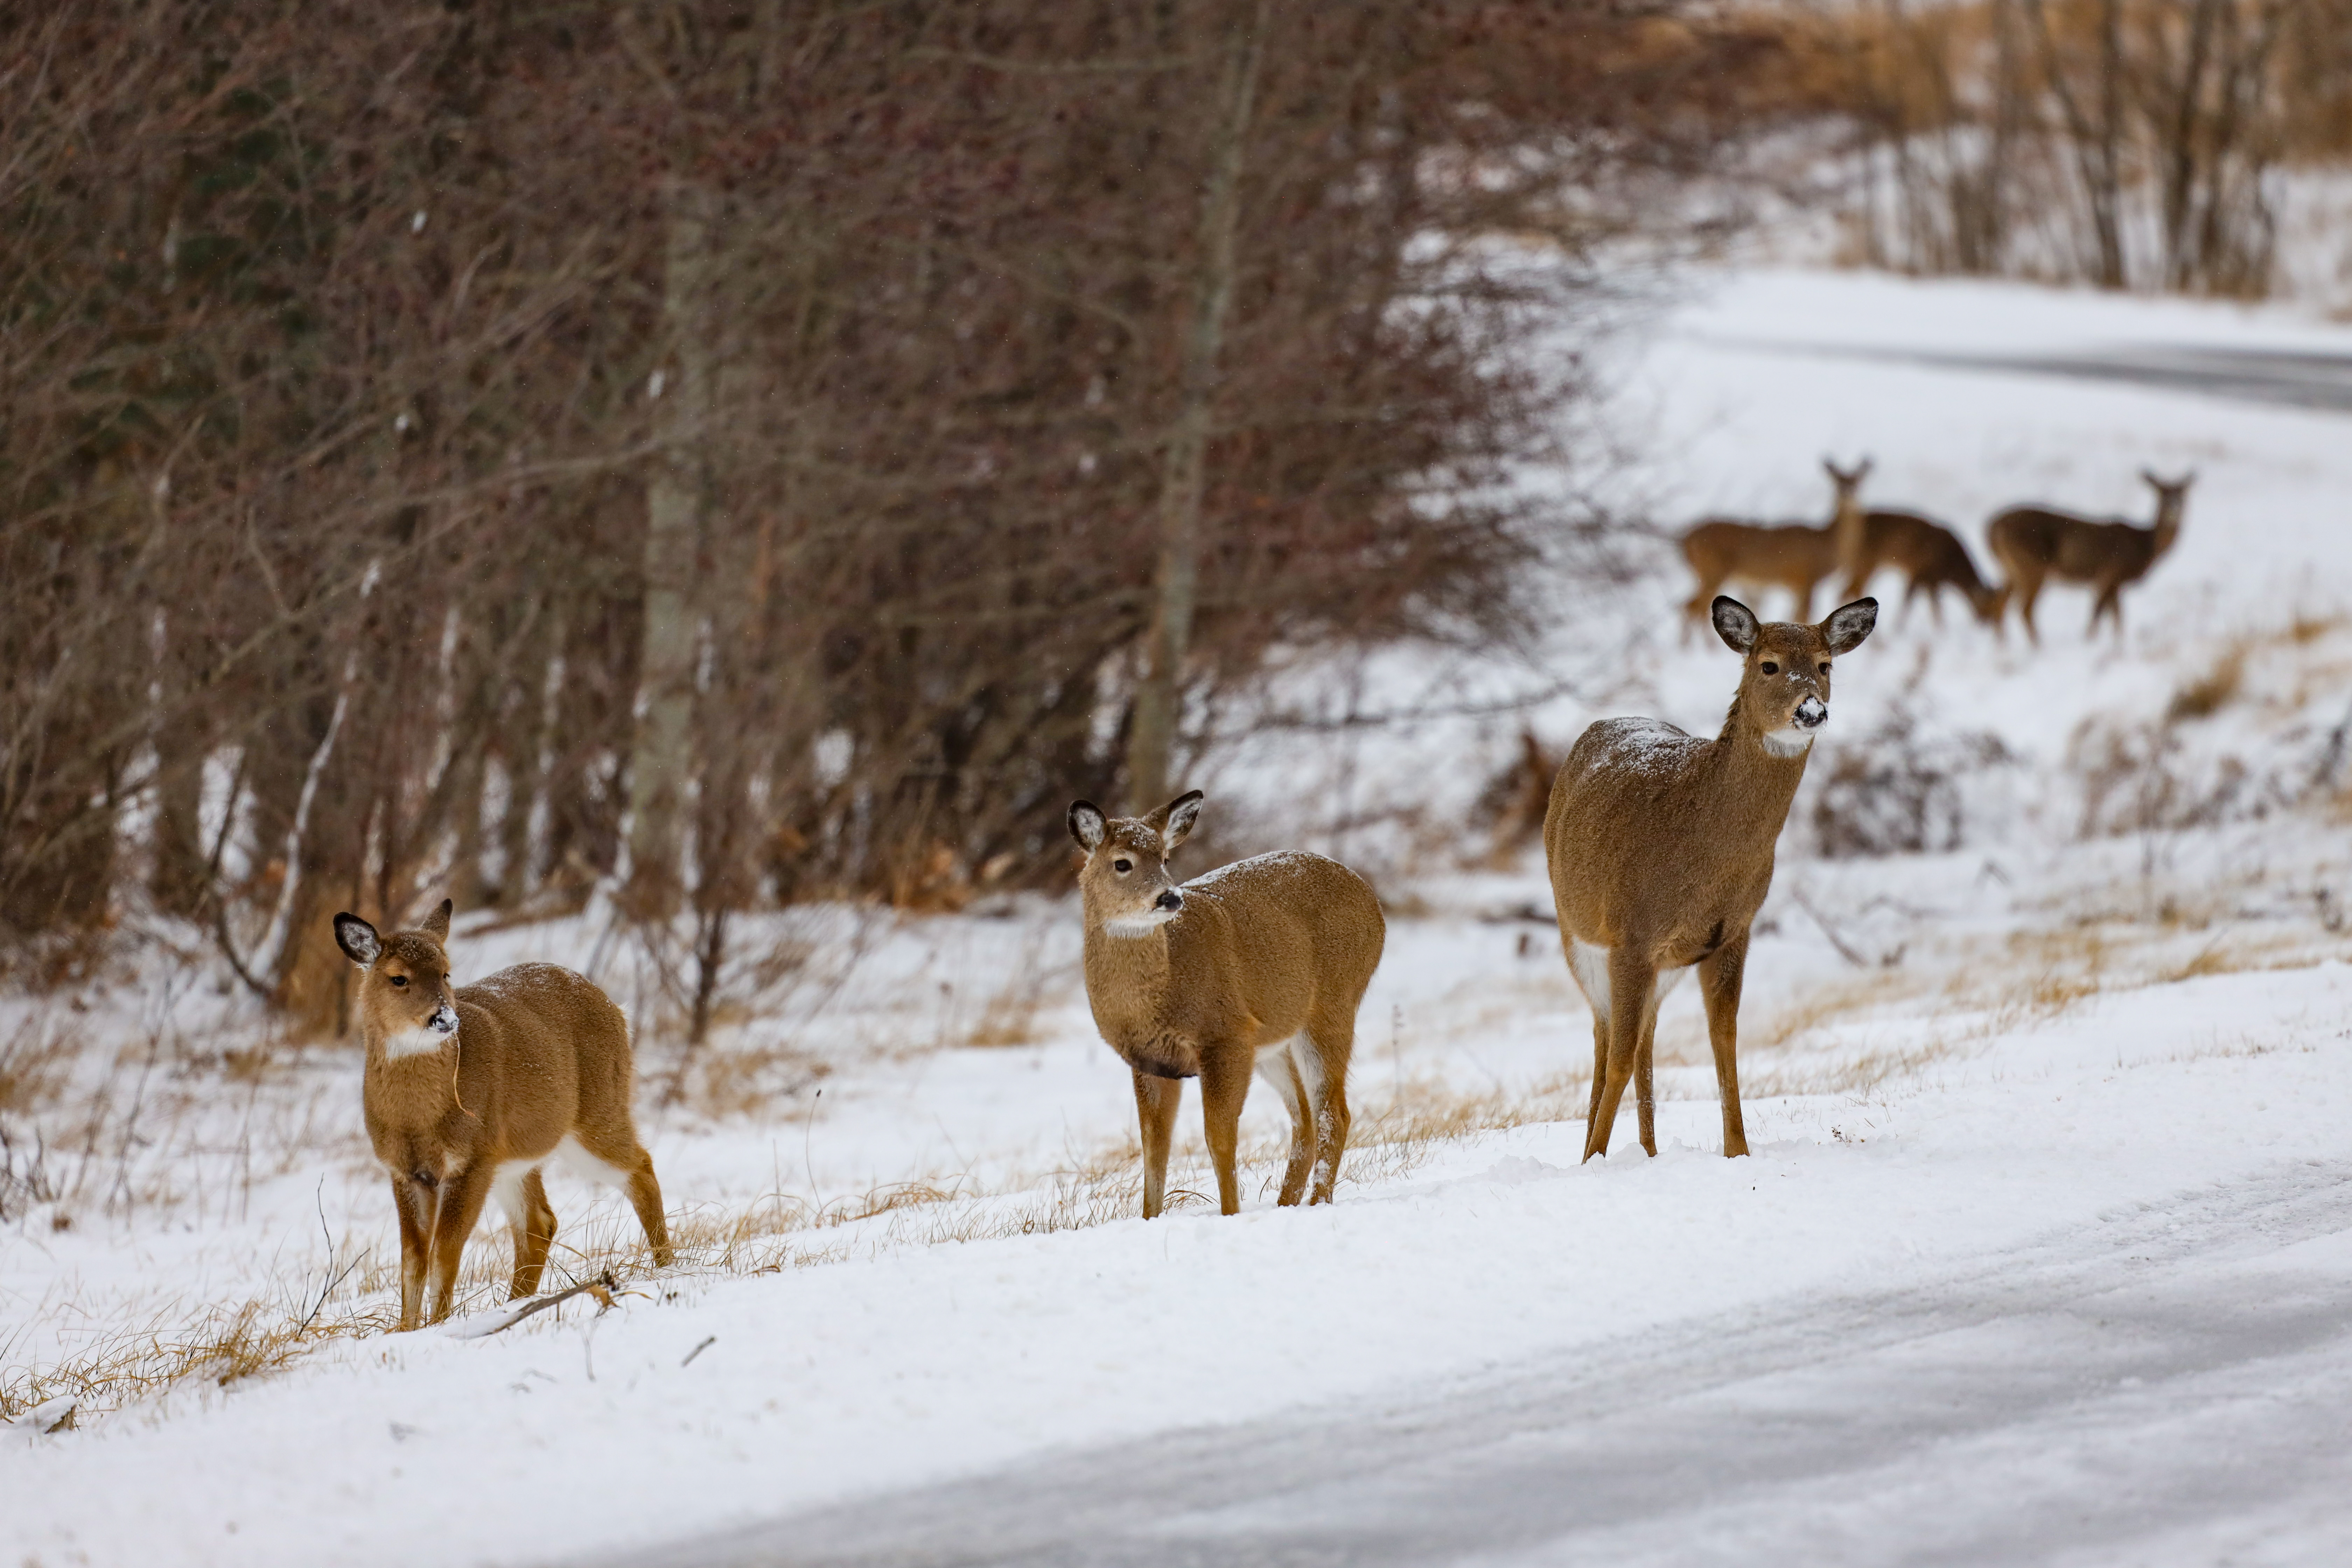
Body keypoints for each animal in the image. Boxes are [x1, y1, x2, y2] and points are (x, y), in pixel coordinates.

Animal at [333, 899, 673, 1329]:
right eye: (398, 978)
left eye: (446, 972)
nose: (445, 1019)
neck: (417, 1119)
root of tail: (619, 1011)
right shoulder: (403, 1170)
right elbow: (412, 1259)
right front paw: (405, 1330)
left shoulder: (472, 1159)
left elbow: (445, 1252)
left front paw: (439, 1324)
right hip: (515, 1158)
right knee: (541, 1222)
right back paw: (515, 1306)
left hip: (595, 1114)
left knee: (640, 1167)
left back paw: (666, 1267)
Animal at [1067, 792, 1385, 1218]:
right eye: (1122, 862)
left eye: (1165, 858)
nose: (1170, 897)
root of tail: (1373, 901)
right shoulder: (1150, 1061)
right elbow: (1154, 1149)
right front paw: (1150, 1218)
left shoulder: (1225, 1035)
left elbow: (1219, 1137)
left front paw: (1231, 1214)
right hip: (1274, 1041)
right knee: (1304, 1118)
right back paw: (1285, 1204)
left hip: (1333, 1005)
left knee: (1334, 1113)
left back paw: (1317, 1203)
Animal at [1544, 594, 1879, 1162]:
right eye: (1768, 665)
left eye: (1825, 664)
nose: (1811, 710)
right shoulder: (1631, 934)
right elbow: (1618, 1057)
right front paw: (1594, 1160)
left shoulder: (1732, 932)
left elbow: (1725, 1041)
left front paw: (1738, 1152)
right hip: (1577, 932)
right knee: (1606, 1037)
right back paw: (1594, 1150)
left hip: (1663, 963)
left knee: (1644, 1038)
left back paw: (1649, 1152)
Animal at [1986, 469, 2193, 643]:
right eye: (2161, 494)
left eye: (2182, 494)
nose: (2174, 507)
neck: (2145, 544)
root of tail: (1991, 528)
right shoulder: (2111, 574)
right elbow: (2100, 614)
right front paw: (2092, 642)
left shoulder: (2112, 584)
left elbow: (2116, 617)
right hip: (2032, 566)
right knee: (2024, 610)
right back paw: (2037, 648)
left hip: (2010, 569)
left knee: (2000, 602)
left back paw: (2003, 648)